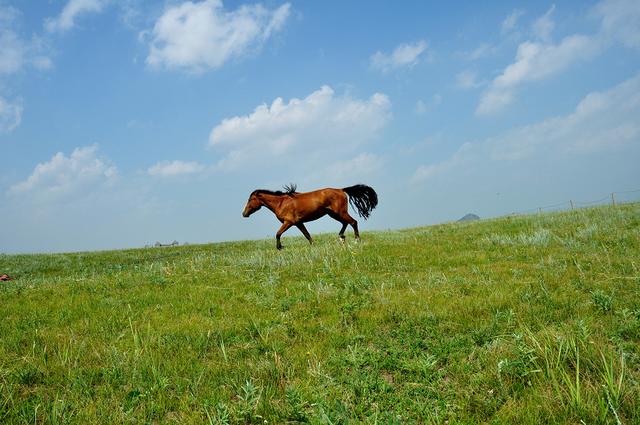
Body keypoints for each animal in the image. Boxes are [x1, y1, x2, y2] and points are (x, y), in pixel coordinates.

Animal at [242, 183, 378, 248]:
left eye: (250, 200)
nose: (244, 213)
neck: (281, 203)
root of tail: (341, 190)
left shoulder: (288, 222)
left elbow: (278, 234)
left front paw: (279, 247)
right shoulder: (299, 223)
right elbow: (307, 235)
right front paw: (313, 246)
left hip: (340, 212)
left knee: (353, 222)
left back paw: (356, 241)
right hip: (333, 214)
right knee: (345, 223)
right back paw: (341, 238)